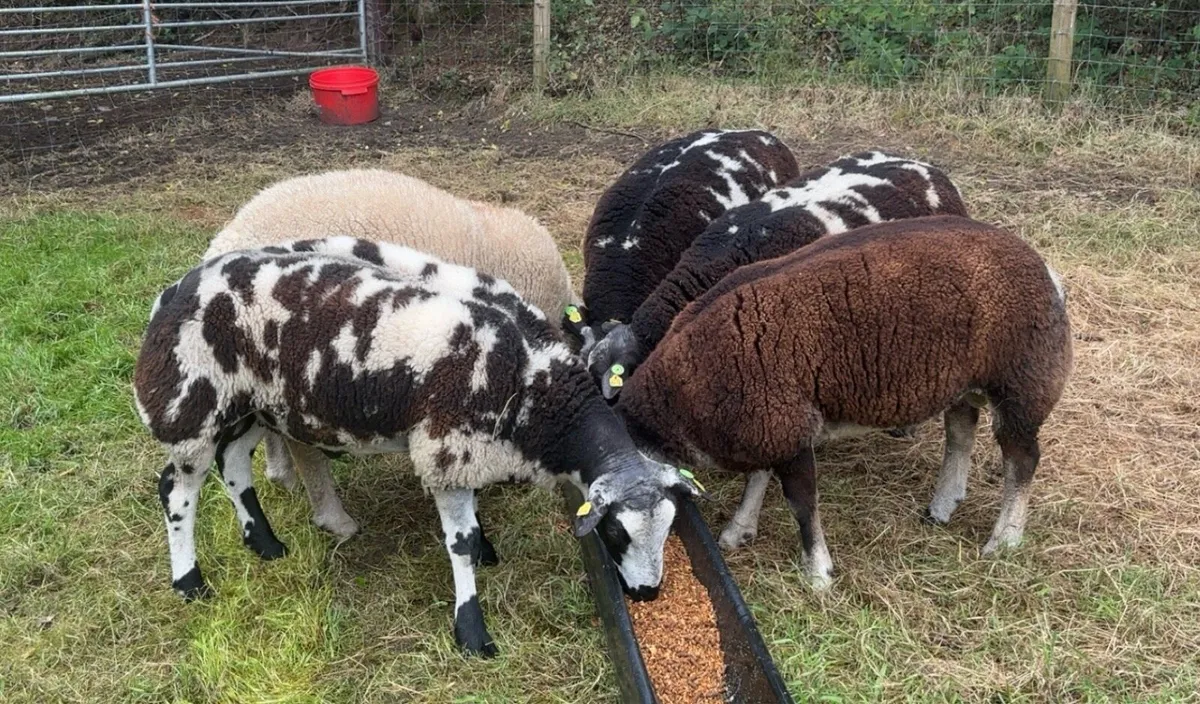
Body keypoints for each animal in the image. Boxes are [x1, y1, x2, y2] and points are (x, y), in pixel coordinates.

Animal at [135, 237, 699, 656]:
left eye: (670, 528)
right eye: (615, 532)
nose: (649, 594)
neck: (532, 381)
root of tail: (176, 288)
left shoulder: (464, 451)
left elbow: (472, 516)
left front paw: (486, 549)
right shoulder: (447, 444)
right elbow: (460, 543)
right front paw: (472, 632)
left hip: (250, 403)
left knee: (233, 464)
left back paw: (265, 543)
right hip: (191, 401)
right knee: (177, 492)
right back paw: (190, 582)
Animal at [615, 216, 1072, 585]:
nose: (645, 590)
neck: (680, 394)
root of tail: (1047, 271)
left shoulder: (786, 425)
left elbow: (801, 503)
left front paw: (818, 573)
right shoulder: (767, 422)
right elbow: (758, 476)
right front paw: (739, 529)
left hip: (1023, 381)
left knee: (1022, 460)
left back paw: (1005, 539)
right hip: (963, 382)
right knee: (960, 436)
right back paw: (942, 506)